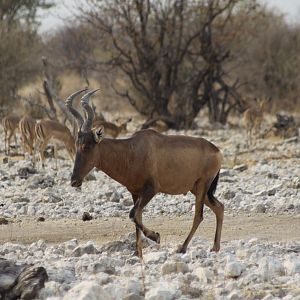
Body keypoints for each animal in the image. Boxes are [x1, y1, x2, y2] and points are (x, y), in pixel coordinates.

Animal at [67, 88, 224, 258]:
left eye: (87, 146)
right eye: (76, 145)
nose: (74, 181)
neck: (132, 149)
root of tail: (216, 150)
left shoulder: (151, 190)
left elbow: (133, 214)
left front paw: (156, 236)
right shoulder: (135, 193)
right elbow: (137, 217)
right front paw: (137, 253)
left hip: (203, 185)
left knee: (199, 215)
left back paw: (182, 248)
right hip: (196, 188)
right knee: (219, 207)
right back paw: (215, 247)